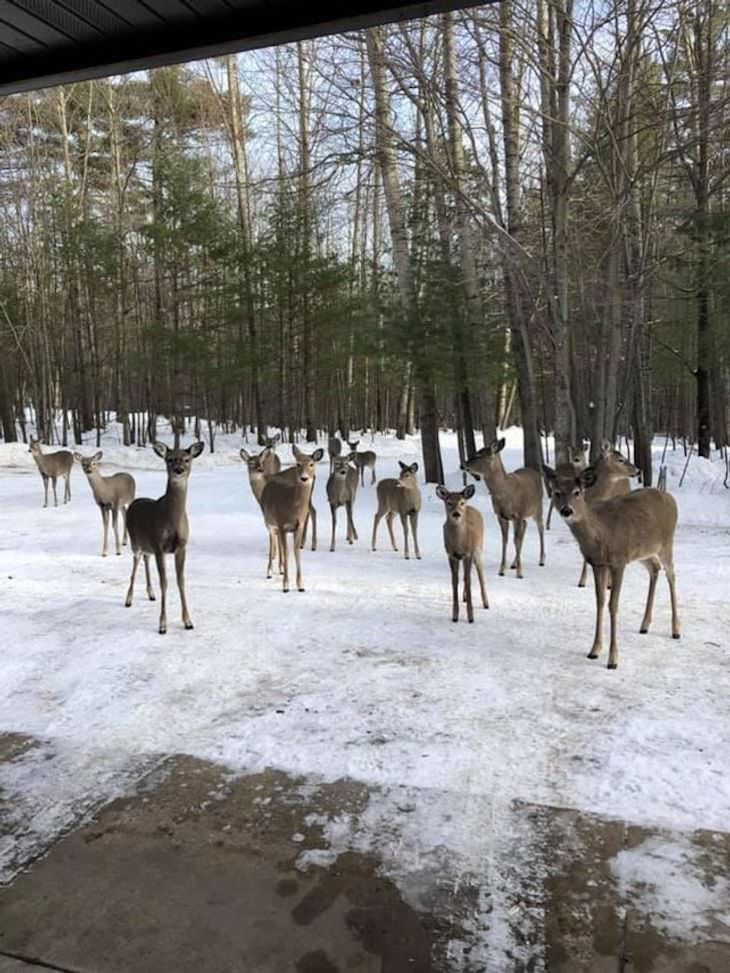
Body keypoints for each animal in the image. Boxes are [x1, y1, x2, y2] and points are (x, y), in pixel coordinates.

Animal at [122, 438, 202, 636]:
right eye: (170, 459)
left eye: (187, 459)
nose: (179, 470)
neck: (171, 518)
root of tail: (135, 501)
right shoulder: (159, 545)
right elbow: (164, 582)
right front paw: (162, 625)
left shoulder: (181, 547)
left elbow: (181, 581)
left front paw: (188, 621)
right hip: (135, 541)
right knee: (135, 564)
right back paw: (128, 599)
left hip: (147, 546)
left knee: (145, 559)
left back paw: (151, 594)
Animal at [258, 444, 322, 588]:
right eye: (298, 463)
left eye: (311, 464)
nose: (304, 478)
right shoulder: (282, 524)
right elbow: (287, 552)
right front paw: (286, 585)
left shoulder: (298, 527)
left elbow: (296, 551)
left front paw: (300, 585)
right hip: (269, 522)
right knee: (271, 541)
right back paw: (269, 572)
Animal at [432, 484, 490, 624]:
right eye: (449, 502)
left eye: (461, 502)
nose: (456, 514)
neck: (459, 543)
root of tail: (473, 507)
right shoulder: (451, 555)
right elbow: (455, 580)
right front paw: (455, 615)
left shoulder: (468, 553)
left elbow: (468, 581)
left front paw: (471, 617)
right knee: (465, 576)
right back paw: (464, 597)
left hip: (478, 549)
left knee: (480, 573)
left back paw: (486, 603)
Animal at [460, 438, 540, 576]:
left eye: (479, 455)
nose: (462, 465)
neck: (504, 492)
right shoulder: (501, 515)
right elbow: (505, 540)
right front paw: (502, 570)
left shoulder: (518, 513)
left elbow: (515, 540)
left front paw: (519, 573)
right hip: (521, 517)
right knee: (525, 526)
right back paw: (513, 563)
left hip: (537, 507)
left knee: (541, 528)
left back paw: (541, 560)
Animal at [540, 464, 676, 668]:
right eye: (557, 492)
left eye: (577, 492)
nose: (567, 510)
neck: (600, 533)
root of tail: (671, 499)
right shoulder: (598, 564)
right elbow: (600, 601)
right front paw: (594, 650)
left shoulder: (618, 561)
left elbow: (613, 605)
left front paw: (613, 659)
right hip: (642, 552)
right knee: (654, 568)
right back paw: (644, 625)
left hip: (666, 544)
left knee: (672, 575)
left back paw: (676, 630)